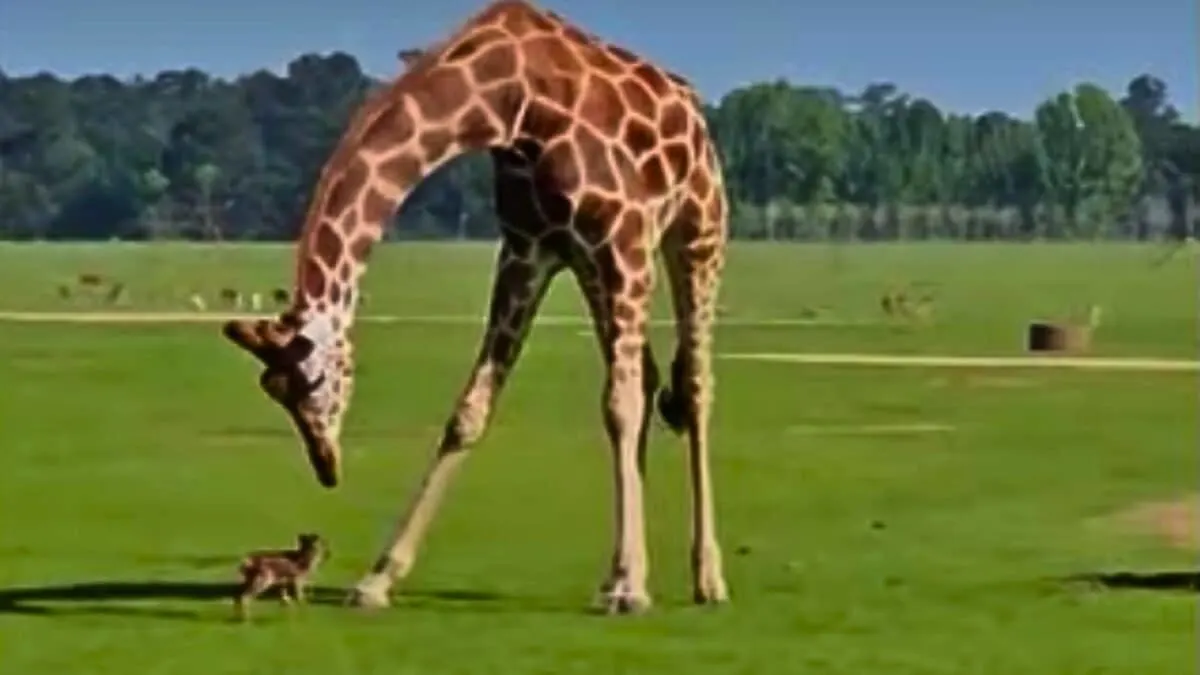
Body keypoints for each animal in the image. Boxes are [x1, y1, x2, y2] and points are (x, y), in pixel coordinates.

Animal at [224, 0, 729, 612]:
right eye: (272, 390)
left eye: (315, 381)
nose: (327, 467)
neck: (506, 101)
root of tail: (690, 106)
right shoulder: (528, 248)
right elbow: (469, 413)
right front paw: (377, 580)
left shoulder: (621, 240)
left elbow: (620, 406)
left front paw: (629, 589)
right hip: (593, 267)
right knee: (650, 373)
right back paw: (630, 569)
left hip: (696, 227)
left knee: (694, 384)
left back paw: (706, 579)